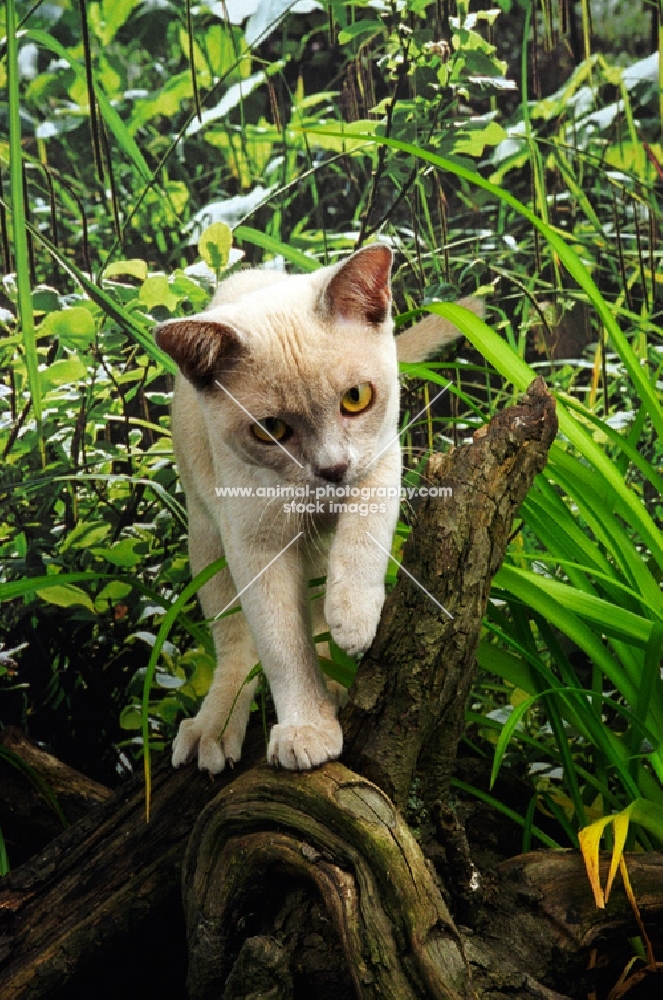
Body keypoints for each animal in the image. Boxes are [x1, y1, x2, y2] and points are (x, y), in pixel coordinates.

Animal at [156, 246, 482, 776]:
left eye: (356, 398)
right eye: (269, 430)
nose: (331, 469)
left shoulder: (381, 460)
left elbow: (362, 537)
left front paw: (355, 620)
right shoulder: (255, 539)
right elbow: (281, 643)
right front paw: (307, 730)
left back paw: (338, 670)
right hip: (207, 539)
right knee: (236, 647)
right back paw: (213, 729)